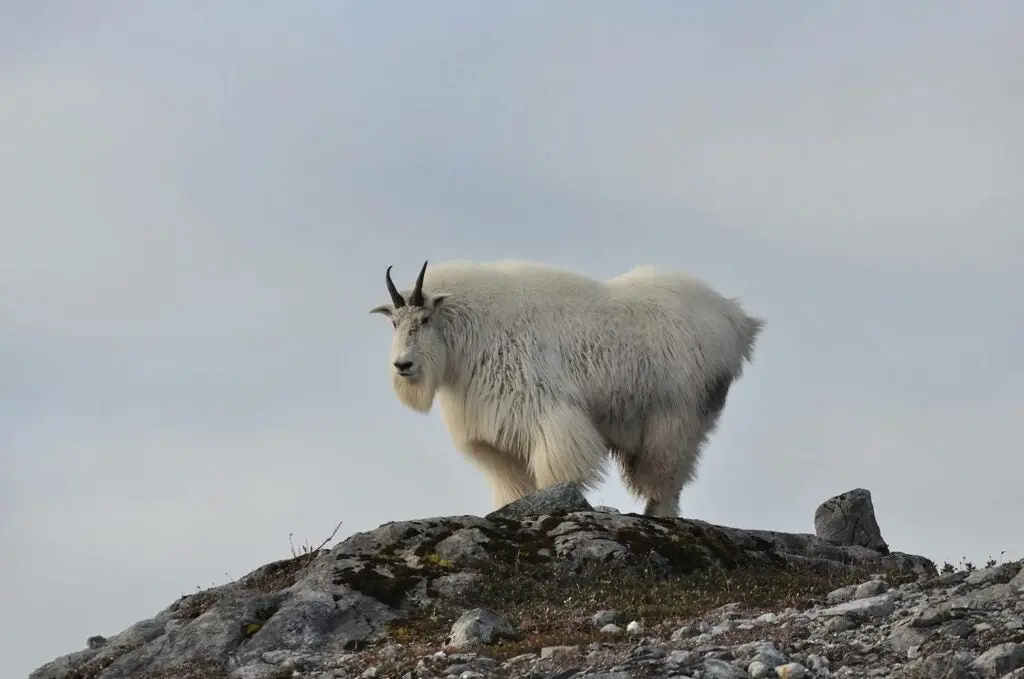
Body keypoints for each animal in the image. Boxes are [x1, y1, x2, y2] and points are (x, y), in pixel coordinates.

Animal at [368, 259, 761, 516]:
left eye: (424, 318)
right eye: (394, 323)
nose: (403, 365)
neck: (471, 331)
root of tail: (737, 321)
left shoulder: (547, 411)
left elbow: (556, 469)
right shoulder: (493, 435)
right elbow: (512, 486)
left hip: (677, 415)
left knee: (667, 473)